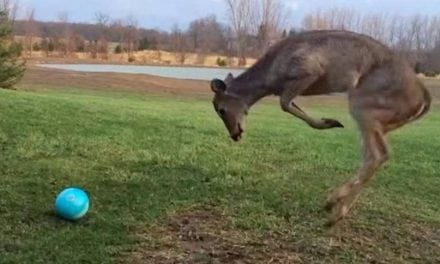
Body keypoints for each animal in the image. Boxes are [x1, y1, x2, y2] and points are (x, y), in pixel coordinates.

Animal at [210, 29, 430, 226]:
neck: (271, 79)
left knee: (379, 154)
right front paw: (330, 122)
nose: (235, 134)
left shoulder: (307, 71)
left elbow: (284, 104)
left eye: (221, 109)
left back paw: (334, 209)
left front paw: (330, 122)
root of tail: (423, 98)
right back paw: (334, 208)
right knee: (373, 155)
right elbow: (289, 104)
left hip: (364, 104)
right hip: (381, 120)